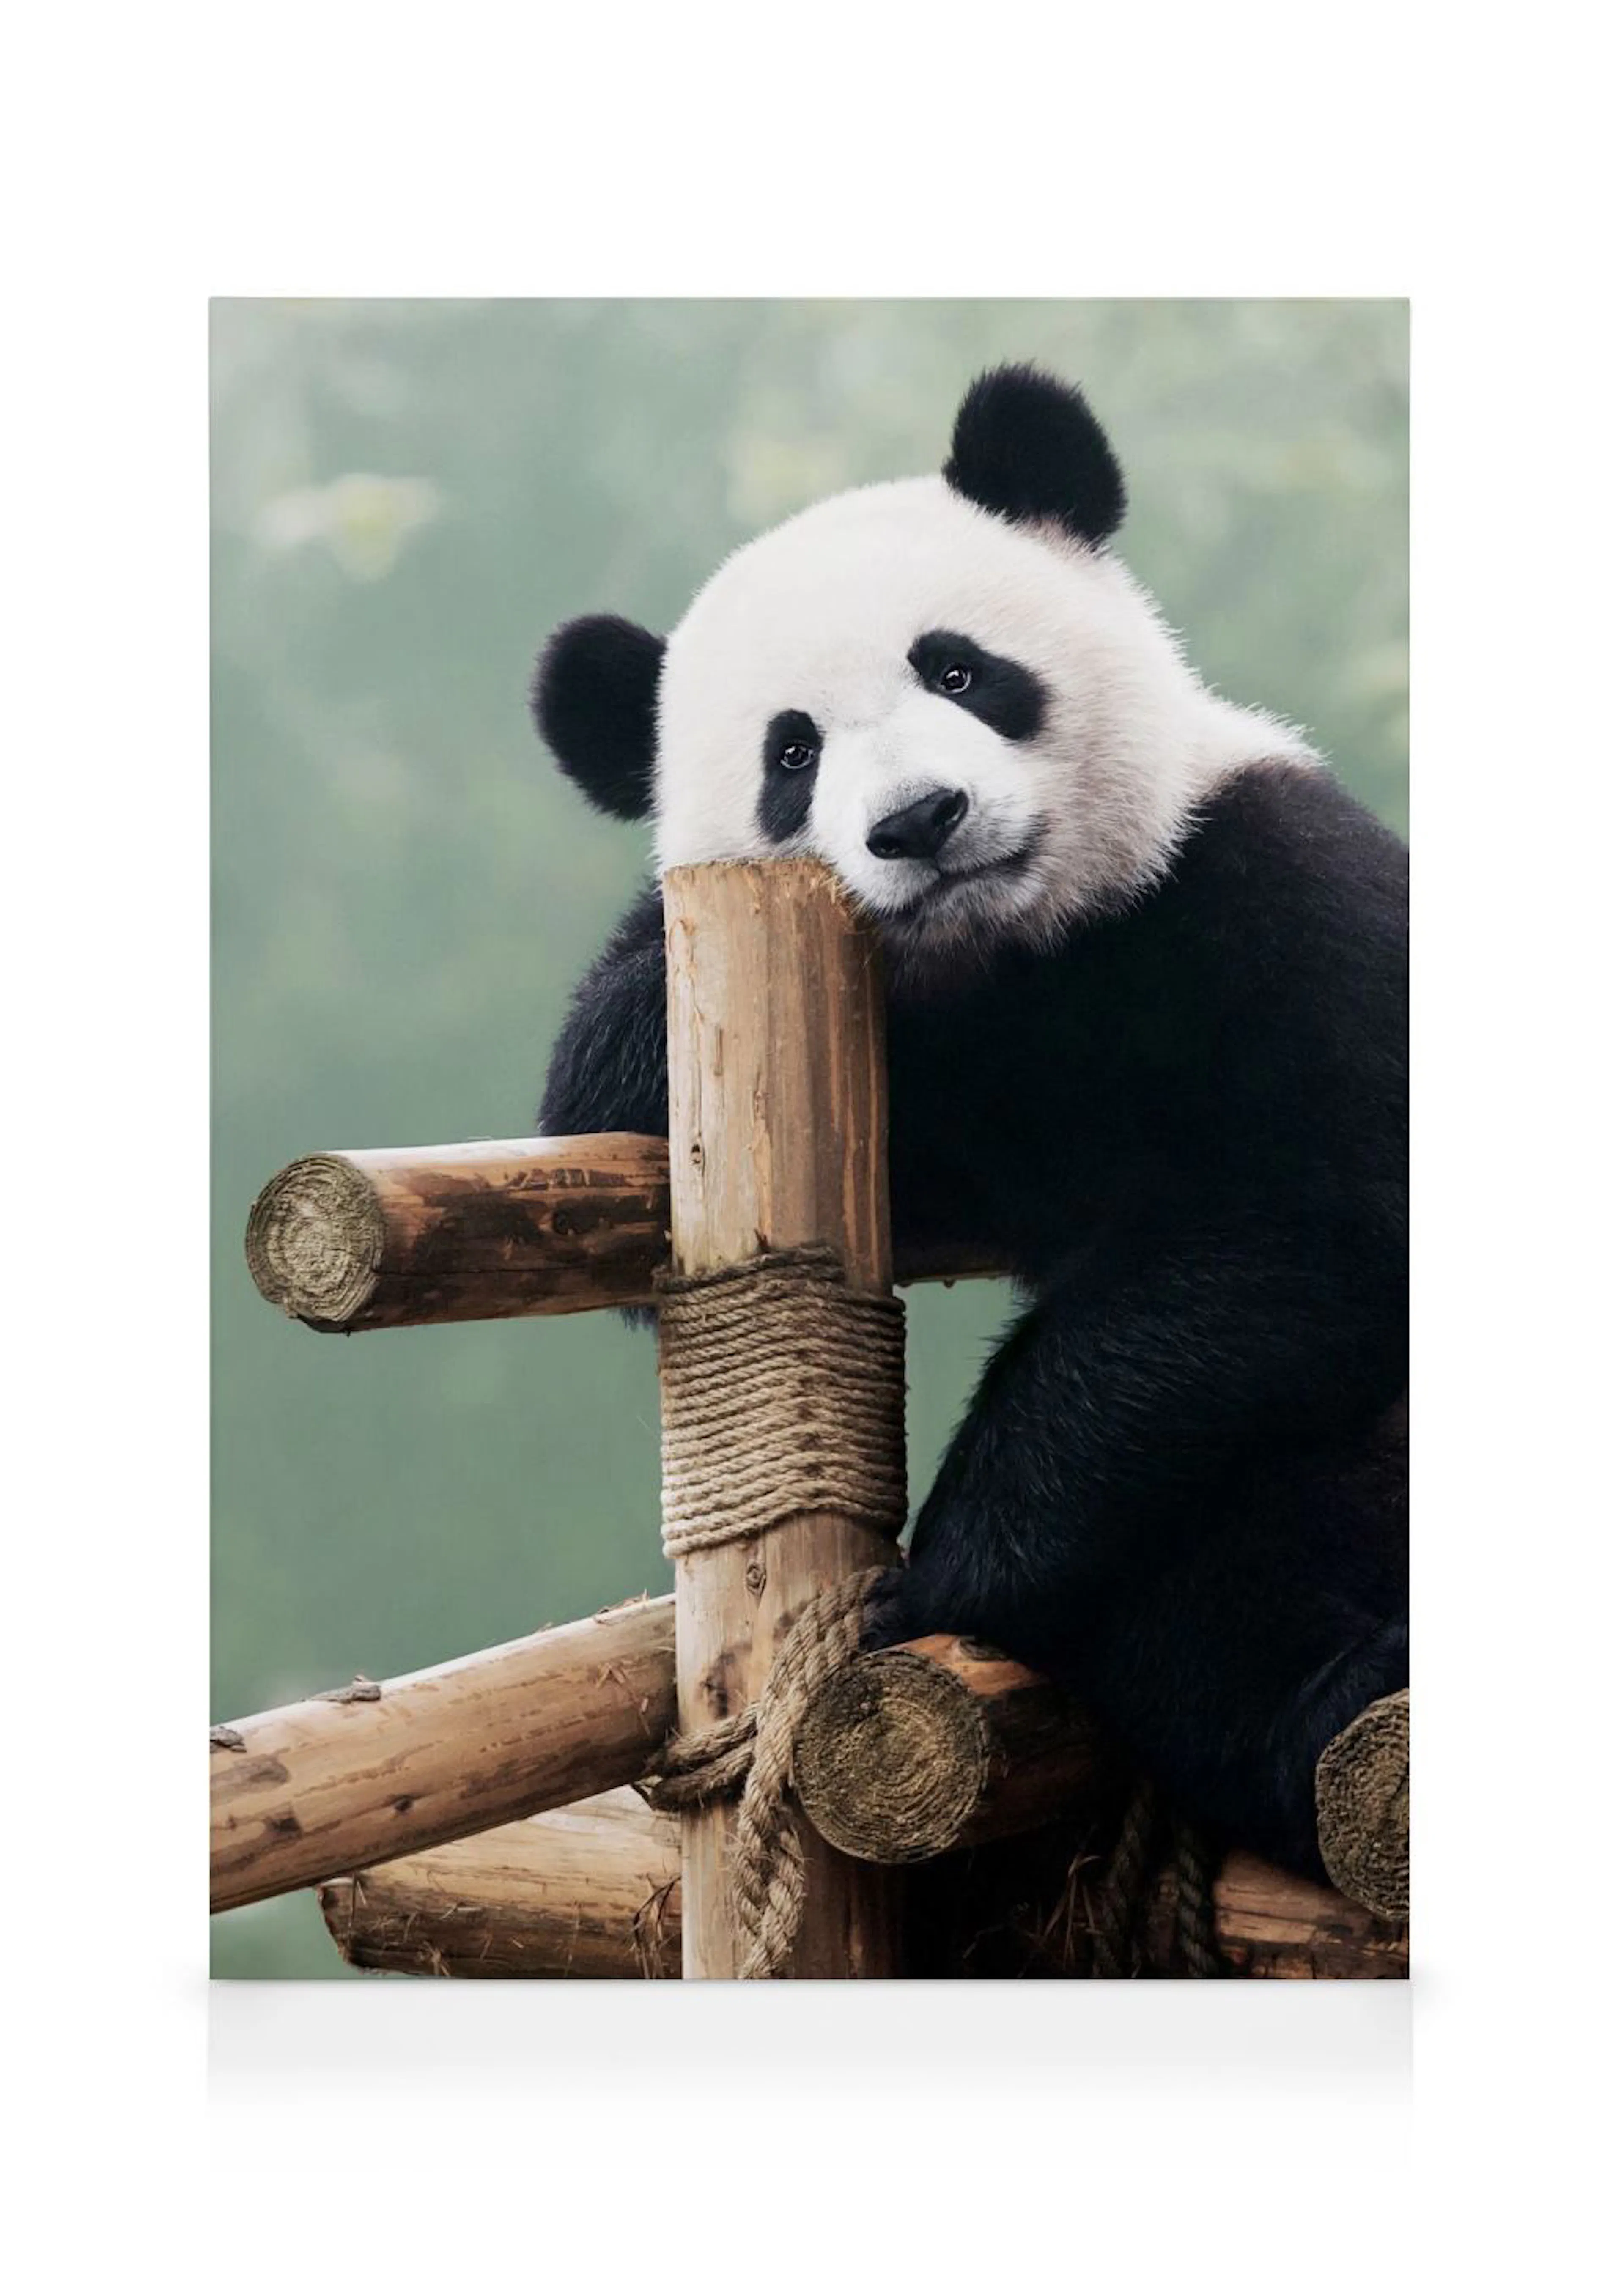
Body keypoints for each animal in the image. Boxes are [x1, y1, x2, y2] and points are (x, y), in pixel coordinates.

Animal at [531, 365, 1407, 1885]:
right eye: (792, 752)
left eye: (957, 669)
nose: (919, 819)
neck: (1025, 955)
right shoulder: (928, 1074)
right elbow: (601, 1109)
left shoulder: (1272, 892)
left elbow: (1294, 1228)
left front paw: (929, 1579)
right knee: (1220, 1602)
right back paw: (1330, 1700)